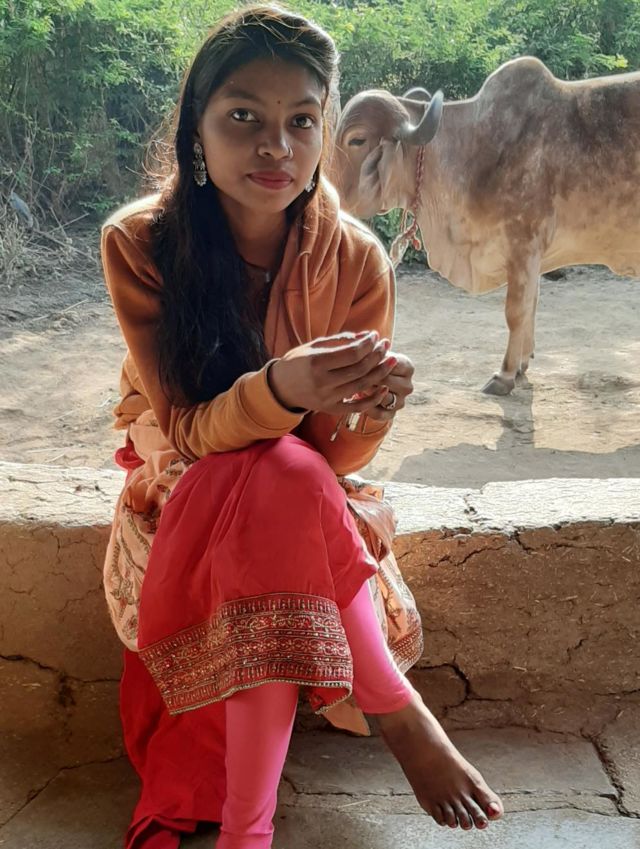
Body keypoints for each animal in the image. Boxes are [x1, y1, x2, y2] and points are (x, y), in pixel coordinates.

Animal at [330, 57, 640, 394]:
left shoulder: (523, 244)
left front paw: (505, 375)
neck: (476, 148)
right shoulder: (532, 257)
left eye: (357, 139)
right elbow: (532, 305)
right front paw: (522, 367)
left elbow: (517, 312)